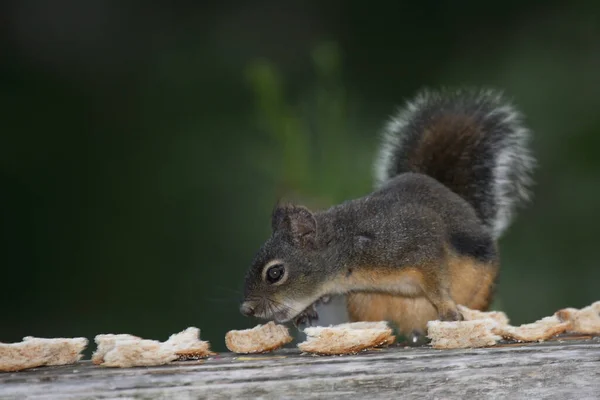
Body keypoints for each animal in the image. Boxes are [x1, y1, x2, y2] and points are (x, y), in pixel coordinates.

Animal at [238, 86, 536, 340]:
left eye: (275, 273)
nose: (246, 309)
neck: (350, 247)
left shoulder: (414, 240)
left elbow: (436, 281)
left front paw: (448, 310)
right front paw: (309, 309)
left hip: (481, 285)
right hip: (364, 302)